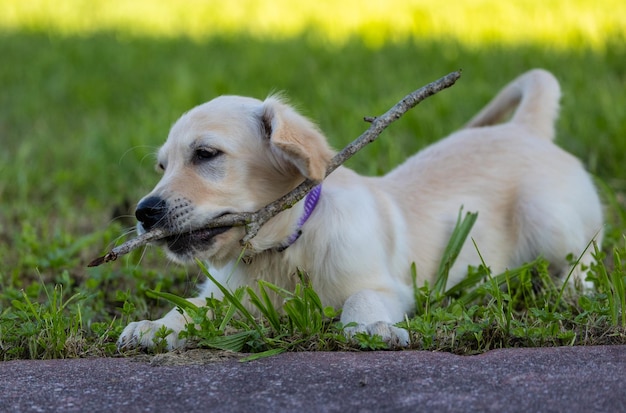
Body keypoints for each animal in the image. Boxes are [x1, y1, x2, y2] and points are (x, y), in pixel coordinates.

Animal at [116, 69, 600, 350]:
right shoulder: (226, 292)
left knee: (584, 256)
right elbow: (191, 307)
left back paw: (569, 288)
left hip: (548, 217)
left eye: (206, 154)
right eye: (162, 166)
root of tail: (526, 129)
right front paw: (155, 327)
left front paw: (371, 330)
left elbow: (360, 300)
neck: (285, 247)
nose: (143, 213)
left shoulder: (388, 286)